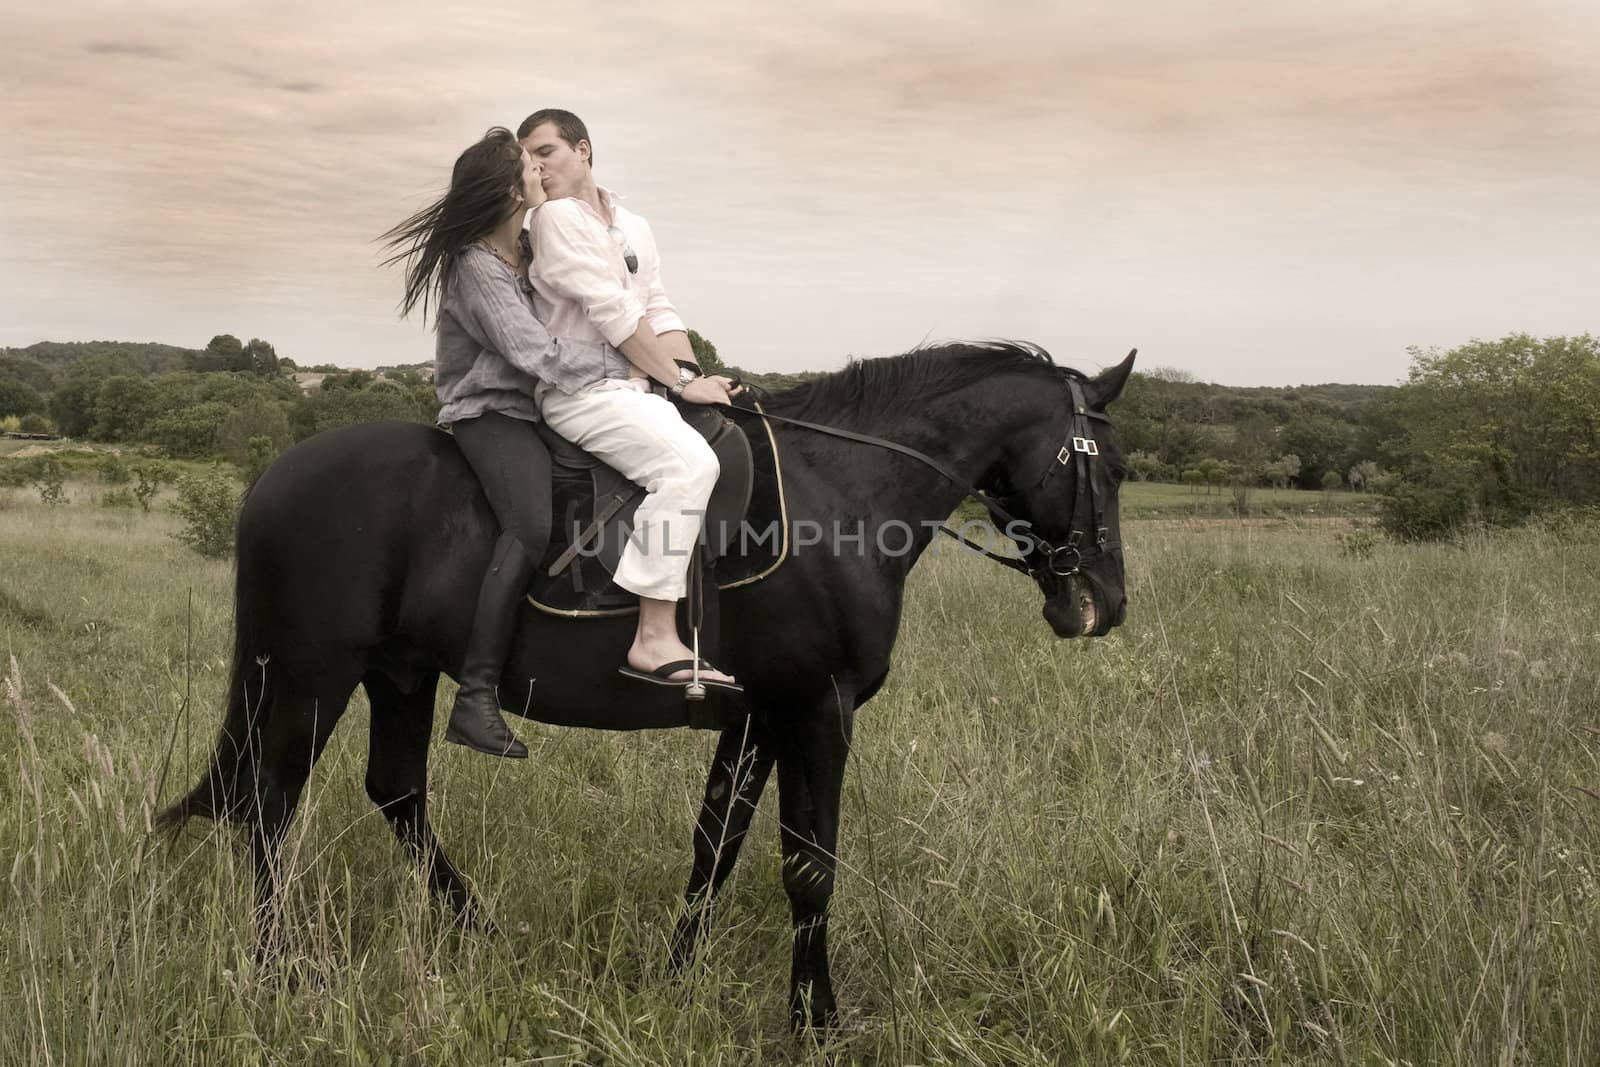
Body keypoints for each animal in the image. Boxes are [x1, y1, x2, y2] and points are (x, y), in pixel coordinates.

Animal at [156, 340, 1139, 1023]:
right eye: (1110, 466)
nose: (1102, 604)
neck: (845, 495)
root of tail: (273, 478)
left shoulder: (757, 718)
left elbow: (716, 851)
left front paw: (674, 978)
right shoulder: (816, 711)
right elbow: (809, 870)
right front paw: (815, 1018)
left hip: (399, 674)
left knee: (394, 792)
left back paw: (481, 934)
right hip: (313, 678)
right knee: (270, 804)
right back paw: (283, 968)